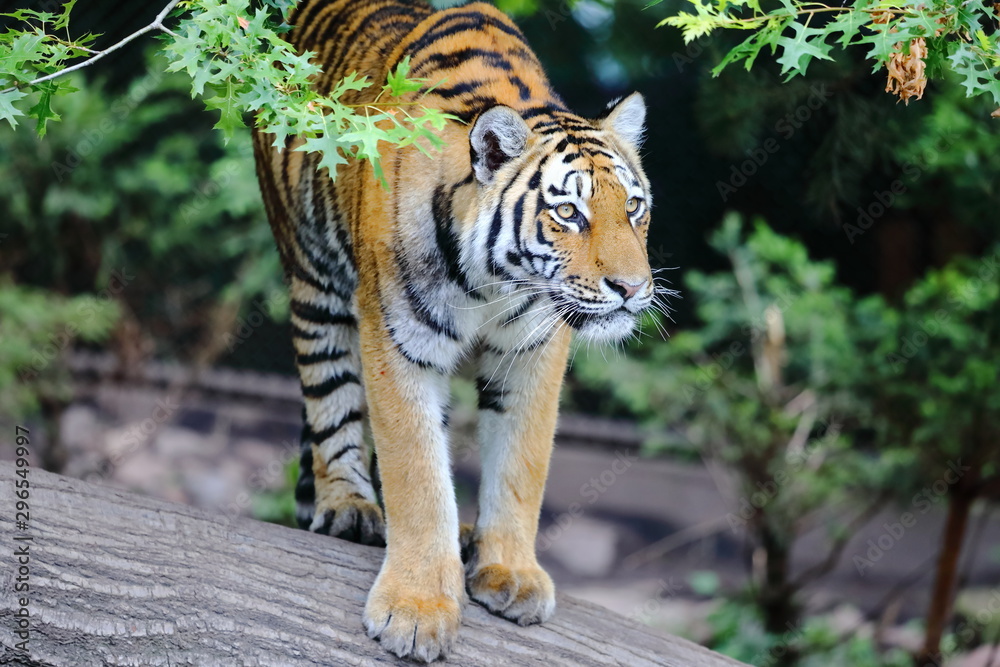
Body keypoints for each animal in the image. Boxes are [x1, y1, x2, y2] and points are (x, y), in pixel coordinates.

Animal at [252, 0, 655, 661]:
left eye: (634, 208)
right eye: (567, 212)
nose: (632, 288)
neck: (493, 283)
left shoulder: (534, 352)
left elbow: (521, 465)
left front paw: (510, 572)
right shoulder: (397, 343)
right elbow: (416, 471)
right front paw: (417, 609)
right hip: (313, 277)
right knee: (330, 398)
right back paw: (347, 506)